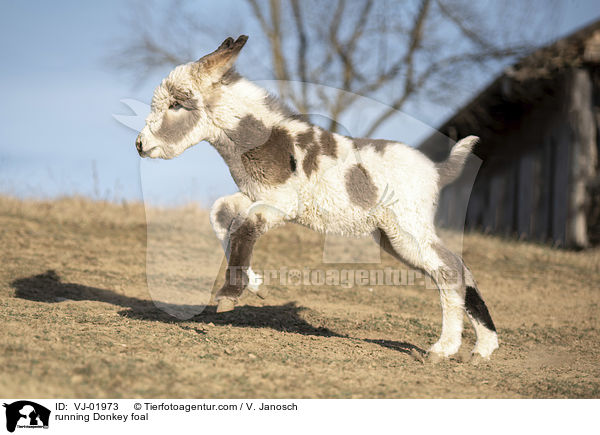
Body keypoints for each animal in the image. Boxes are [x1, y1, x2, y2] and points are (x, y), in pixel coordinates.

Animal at [138, 35, 500, 362]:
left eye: (176, 105)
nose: (140, 145)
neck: (267, 139)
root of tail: (437, 169)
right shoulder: (255, 195)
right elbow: (221, 214)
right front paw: (254, 283)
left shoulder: (280, 204)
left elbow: (243, 227)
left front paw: (229, 294)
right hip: (394, 239)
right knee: (460, 268)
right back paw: (483, 348)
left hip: (407, 230)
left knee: (449, 270)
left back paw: (443, 349)